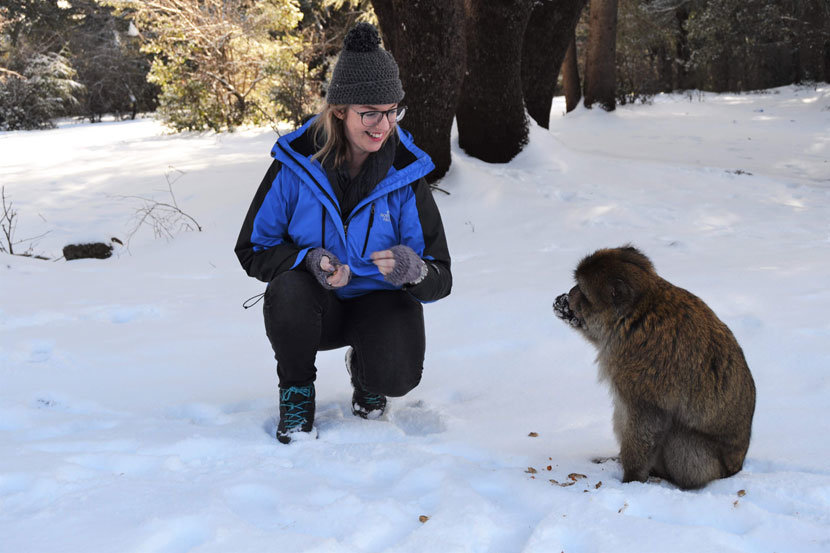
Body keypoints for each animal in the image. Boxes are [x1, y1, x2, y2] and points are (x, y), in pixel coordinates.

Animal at [556, 246, 756, 488]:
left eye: (583, 292)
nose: (570, 293)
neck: (637, 309)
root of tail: (737, 465)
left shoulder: (643, 367)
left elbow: (648, 421)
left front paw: (632, 478)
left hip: (708, 465)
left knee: (679, 437)